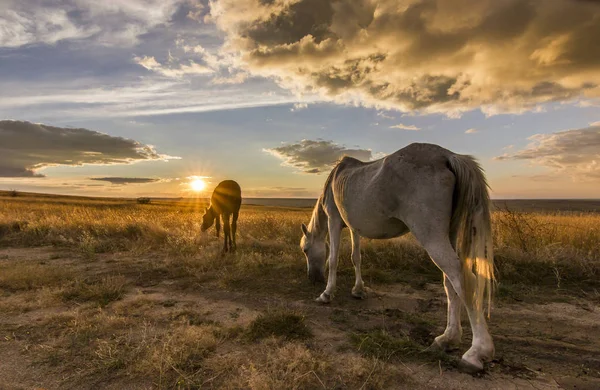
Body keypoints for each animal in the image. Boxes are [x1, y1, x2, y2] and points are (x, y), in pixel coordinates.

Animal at [302, 142, 494, 372]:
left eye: (305, 250)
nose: (313, 278)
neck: (336, 178)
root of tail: (448, 156)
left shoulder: (334, 220)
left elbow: (333, 259)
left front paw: (326, 293)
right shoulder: (354, 227)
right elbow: (356, 257)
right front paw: (358, 290)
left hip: (431, 235)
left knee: (464, 279)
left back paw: (476, 352)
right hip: (450, 233)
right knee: (450, 282)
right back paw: (447, 338)